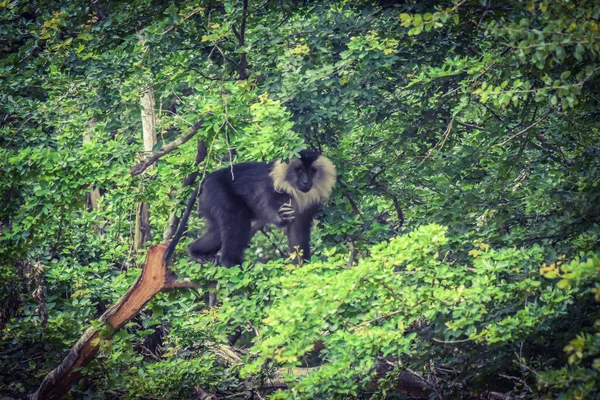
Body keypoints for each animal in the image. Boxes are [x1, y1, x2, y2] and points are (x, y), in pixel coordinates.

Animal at [189, 150, 338, 268]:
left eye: (311, 171)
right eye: (299, 170)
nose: (306, 182)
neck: (294, 189)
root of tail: (208, 178)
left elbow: (298, 231)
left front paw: (300, 267)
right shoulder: (273, 189)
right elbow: (269, 210)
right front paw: (281, 217)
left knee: (219, 231)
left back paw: (196, 252)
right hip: (216, 191)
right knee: (236, 219)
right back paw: (229, 262)